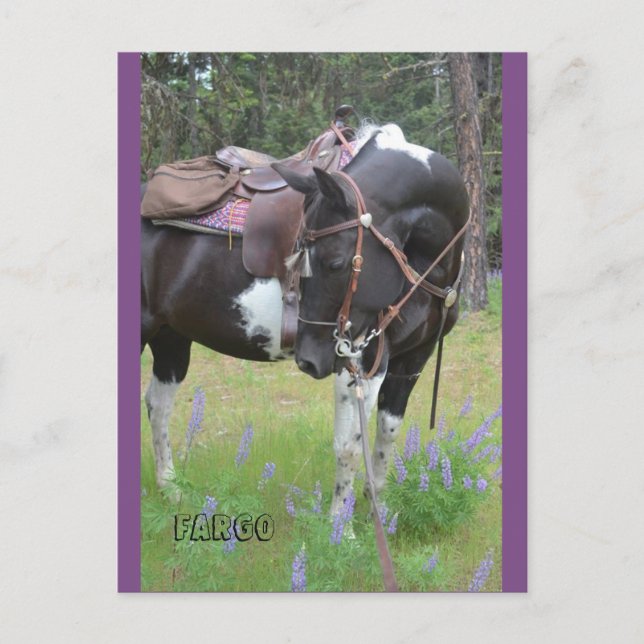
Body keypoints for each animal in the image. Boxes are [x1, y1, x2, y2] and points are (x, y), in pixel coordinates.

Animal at [141, 123, 469, 516]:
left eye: (336, 263)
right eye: (298, 252)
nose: (308, 360)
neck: (424, 265)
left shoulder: (413, 359)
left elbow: (386, 437)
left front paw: (377, 511)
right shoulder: (360, 358)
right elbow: (349, 446)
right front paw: (341, 526)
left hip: (170, 337)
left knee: (158, 405)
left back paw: (171, 489)